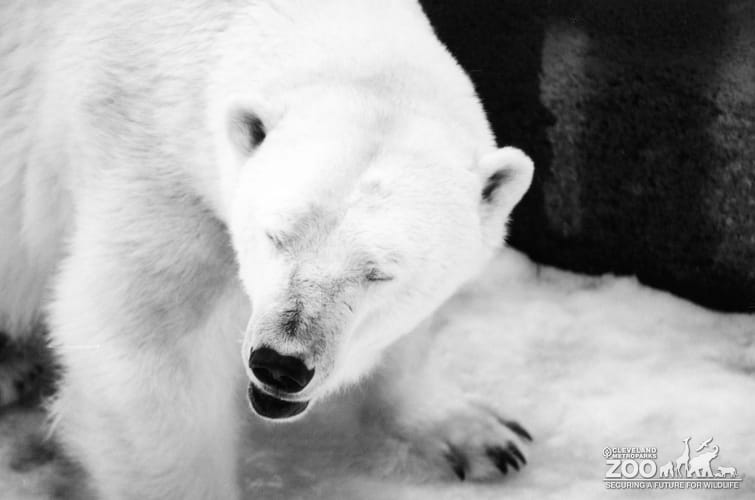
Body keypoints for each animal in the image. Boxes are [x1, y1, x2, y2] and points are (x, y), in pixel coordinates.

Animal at [0, 0, 534, 498]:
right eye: (275, 235)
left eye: (380, 272)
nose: (280, 365)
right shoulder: (158, 179)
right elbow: (147, 350)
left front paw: (478, 435)